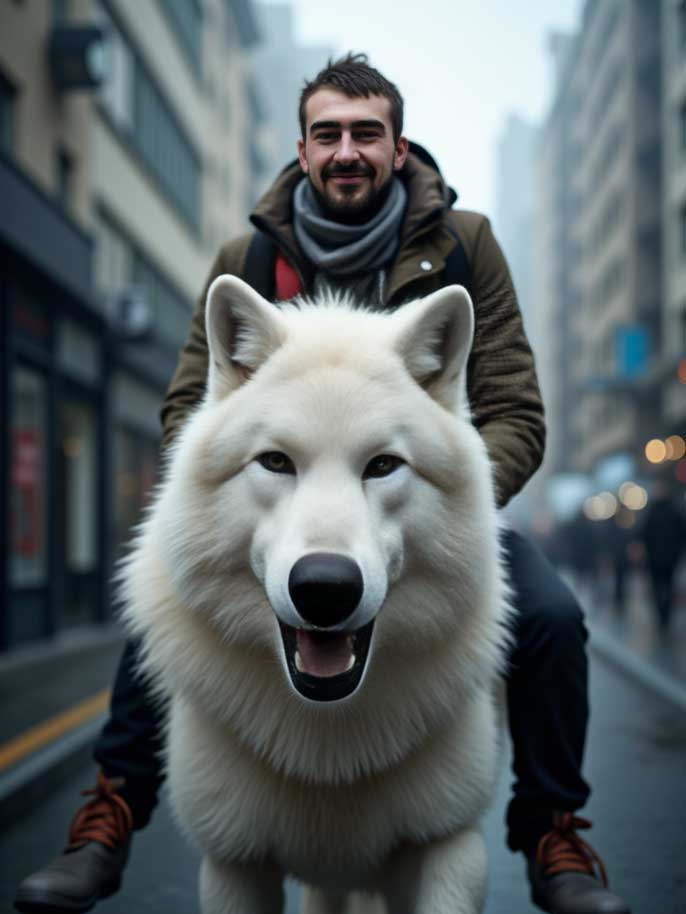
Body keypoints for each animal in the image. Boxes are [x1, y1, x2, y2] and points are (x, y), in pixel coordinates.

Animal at [120, 275, 510, 914]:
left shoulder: (452, 843)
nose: (325, 588)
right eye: (276, 462)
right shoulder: (233, 863)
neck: (327, 748)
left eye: (383, 465)